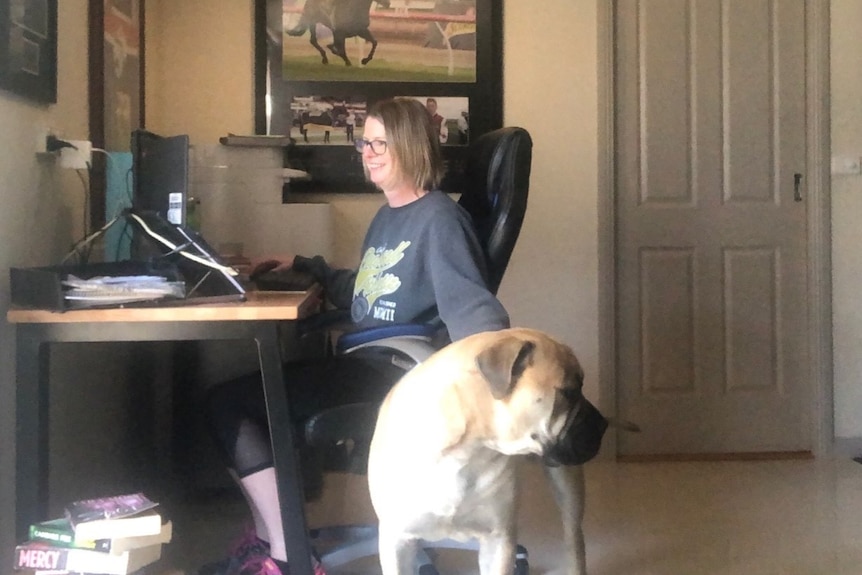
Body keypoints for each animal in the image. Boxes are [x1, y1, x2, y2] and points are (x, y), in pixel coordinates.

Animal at [368, 328, 624, 575]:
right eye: (569, 392)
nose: (603, 423)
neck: (467, 450)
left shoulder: (498, 538)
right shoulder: (397, 541)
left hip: (568, 491)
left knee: (574, 538)